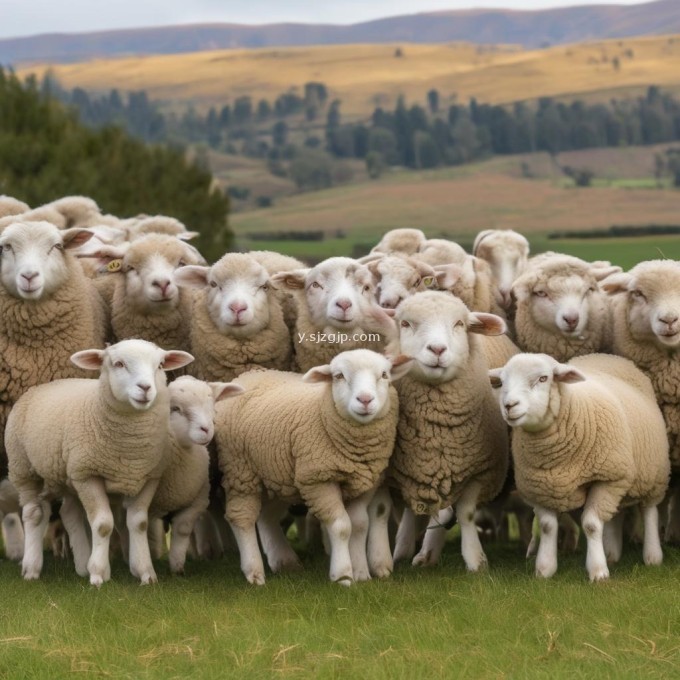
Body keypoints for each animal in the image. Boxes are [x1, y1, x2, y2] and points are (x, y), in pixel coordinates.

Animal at [5, 338, 194, 584]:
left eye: (161, 365)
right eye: (119, 364)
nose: (145, 388)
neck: (130, 446)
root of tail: (45, 384)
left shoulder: (148, 477)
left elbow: (139, 523)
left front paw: (145, 573)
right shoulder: (88, 475)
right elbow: (103, 524)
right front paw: (97, 575)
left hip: (68, 477)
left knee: (69, 513)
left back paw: (81, 565)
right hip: (24, 468)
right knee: (34, 514)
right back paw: (31, 568)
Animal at [215, 350, 412, 584]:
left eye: (384, 375)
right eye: (338, 376)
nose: (365, 400)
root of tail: (249, 375)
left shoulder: (363, 483)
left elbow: (359, 525)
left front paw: (361, 574)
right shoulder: (318, 480)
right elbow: (341, 526)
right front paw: (343, 575)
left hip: (278, 477)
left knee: (266, 516)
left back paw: (284, 561)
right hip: (240, 470)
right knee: (241, 518)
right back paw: (254, 572)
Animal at [382, 290, 510, 572]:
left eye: (459, 324)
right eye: (405, 324)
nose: (437, 349)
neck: (436, 431)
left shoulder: (480, 470)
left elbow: (466, 513)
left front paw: (475, 560)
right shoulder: (405, 471)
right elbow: (411, 509)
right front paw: (401, 549)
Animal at [488, 354, 668, 580]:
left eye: (543, 378)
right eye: (502, 382)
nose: (509, 405)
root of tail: (607, 356)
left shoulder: (607, 478)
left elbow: (591, 525)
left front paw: (598, 571)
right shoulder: (541, 487)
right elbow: (547, 527)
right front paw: (545, 569)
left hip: (651, 474)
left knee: (649, 511)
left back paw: (652, 556)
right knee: (615, 514)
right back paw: (612, 554)